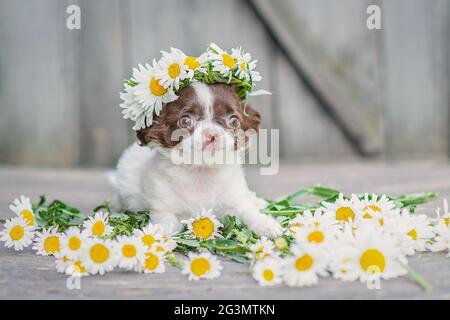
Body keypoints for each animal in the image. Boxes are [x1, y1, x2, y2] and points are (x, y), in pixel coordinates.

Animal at [111, 82, 282, 238]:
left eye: (234, 121)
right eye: (185, 121)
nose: (212, 134)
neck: (201, 171)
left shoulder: (234, 201)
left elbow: (248, 211)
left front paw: (265, 224)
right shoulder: (163, 207)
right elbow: (167, 220)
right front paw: (157, 232)